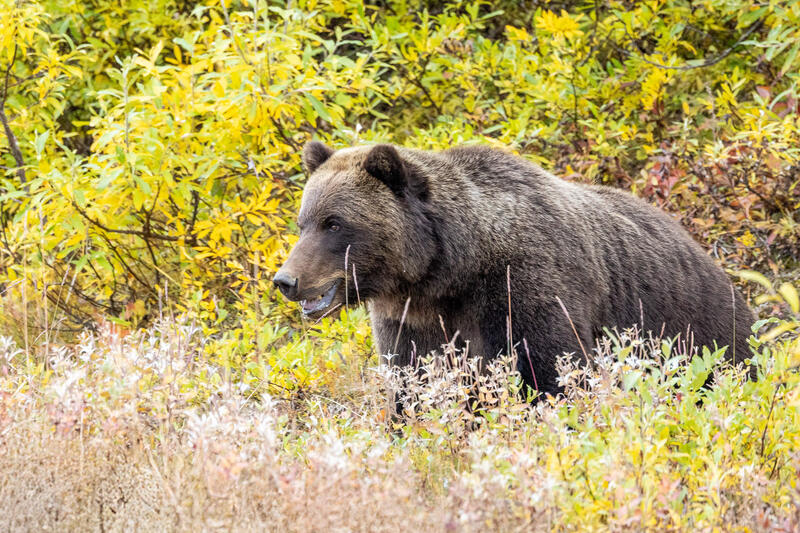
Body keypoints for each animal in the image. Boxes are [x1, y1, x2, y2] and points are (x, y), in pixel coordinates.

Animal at [273, 142, 755, 396]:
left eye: (334, 223)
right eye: (303, 222)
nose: (285, 280)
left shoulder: (526, 286)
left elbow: (554, 371)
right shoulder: (413, 317)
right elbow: (417, 381)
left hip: (697, 332)